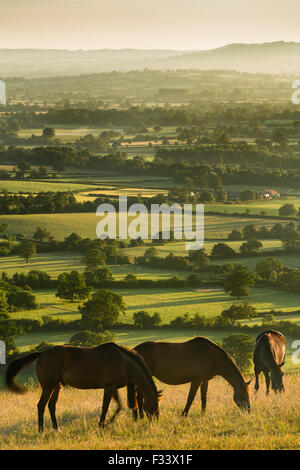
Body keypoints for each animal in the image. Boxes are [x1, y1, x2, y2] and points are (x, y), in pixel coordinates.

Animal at [5, 340, 162, 432]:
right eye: (155, 405)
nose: (155, 421)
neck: (125, 363)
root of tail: (41, 354)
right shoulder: (109, 387)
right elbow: (106, 407)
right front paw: (102, 424)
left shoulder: (113, 387)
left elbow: (119, 406)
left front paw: (108, 423)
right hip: (48, 387)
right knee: (41, 405)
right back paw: (41, 430)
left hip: (57, 386)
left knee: (51, 405)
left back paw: (56, 429)